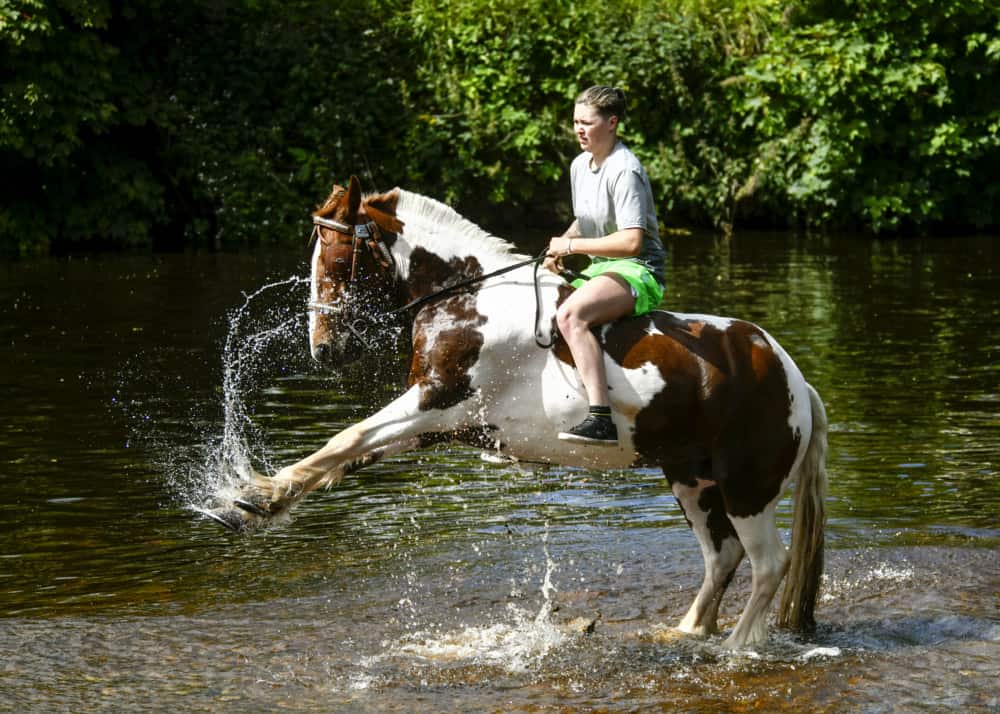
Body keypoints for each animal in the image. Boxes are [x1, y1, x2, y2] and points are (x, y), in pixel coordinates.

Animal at [209, 175, 829, 650]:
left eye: (337, 259)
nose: (323, 350)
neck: (465, 296)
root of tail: (795, 378)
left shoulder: (437, 400)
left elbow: (348, 437)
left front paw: (252, 493)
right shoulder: (441, 423)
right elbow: (350, 453)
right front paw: (255, 503)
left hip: (747, 486)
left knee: (768, 563)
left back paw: (735, 647)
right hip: (691, 479)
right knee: (722, 556)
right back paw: (685, 633)